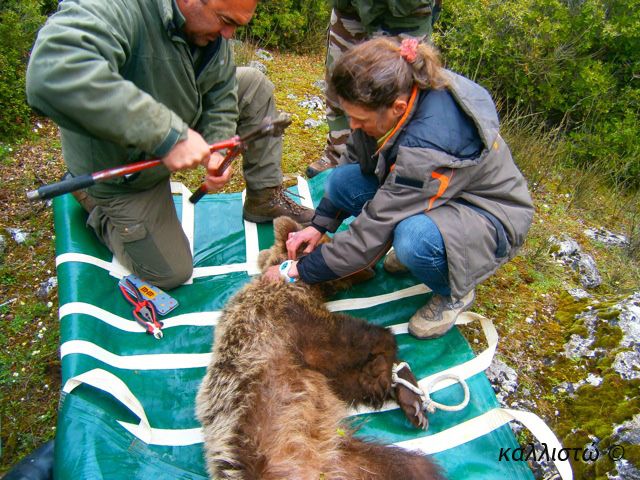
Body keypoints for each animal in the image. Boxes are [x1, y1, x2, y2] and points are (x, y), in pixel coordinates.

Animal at [196, 218, 444, 480]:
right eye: (330, 240)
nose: (371, 268)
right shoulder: (290, 325)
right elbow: (351, 340)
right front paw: (382, 371)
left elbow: (348, 377)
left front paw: (406, 396)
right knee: (412, 464)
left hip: (346, 456)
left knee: (404, 465)